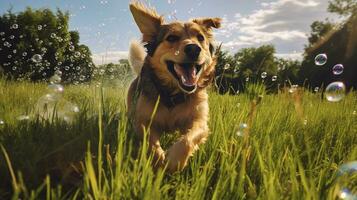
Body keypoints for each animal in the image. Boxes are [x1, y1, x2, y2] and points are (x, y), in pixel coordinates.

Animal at [125, 1, 220, 172]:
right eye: (172, 38)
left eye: (200, 38)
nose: (193, 48)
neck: (173, 94)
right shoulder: (142, 121)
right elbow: (150, 142)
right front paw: (159, 160)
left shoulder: (200, 121)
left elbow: (188, 139)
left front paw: (174, 160)